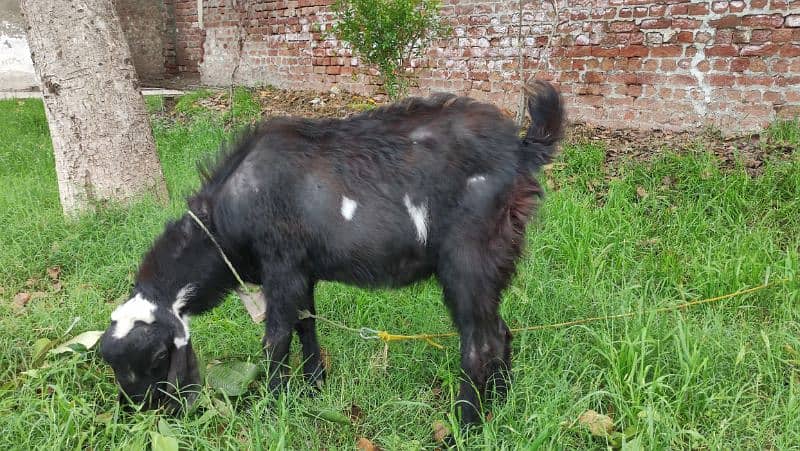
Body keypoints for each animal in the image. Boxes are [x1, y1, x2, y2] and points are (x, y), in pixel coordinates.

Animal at [100, 81, 564, 428]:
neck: (225, 218)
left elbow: (276, 339)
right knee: (499, 331)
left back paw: (464, 426)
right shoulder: (302, 271)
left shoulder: (282, 266)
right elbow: (306, 325)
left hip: (468, 258)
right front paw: (312, 389)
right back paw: (499, 406)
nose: (145, 414)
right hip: (496, 261)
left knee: (479, 343)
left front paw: (272, 407)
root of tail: (520, 151)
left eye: (158, 357)